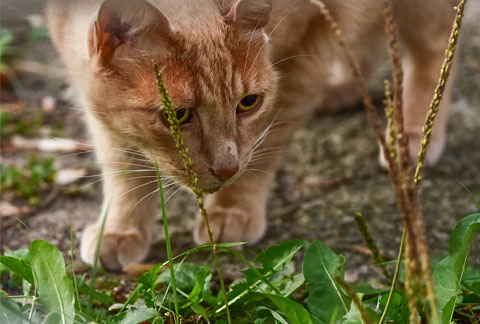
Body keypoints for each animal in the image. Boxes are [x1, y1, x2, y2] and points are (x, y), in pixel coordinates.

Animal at [47, 0, 458, 270]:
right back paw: (343, 89)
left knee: (434, 52)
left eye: (248, 103)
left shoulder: (307, 50)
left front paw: (234, 208)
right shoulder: (96, 101)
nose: (226, 168)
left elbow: (267, 145)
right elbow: (123, 164)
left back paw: (412, 135)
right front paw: (120, 229)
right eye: (177, 115)